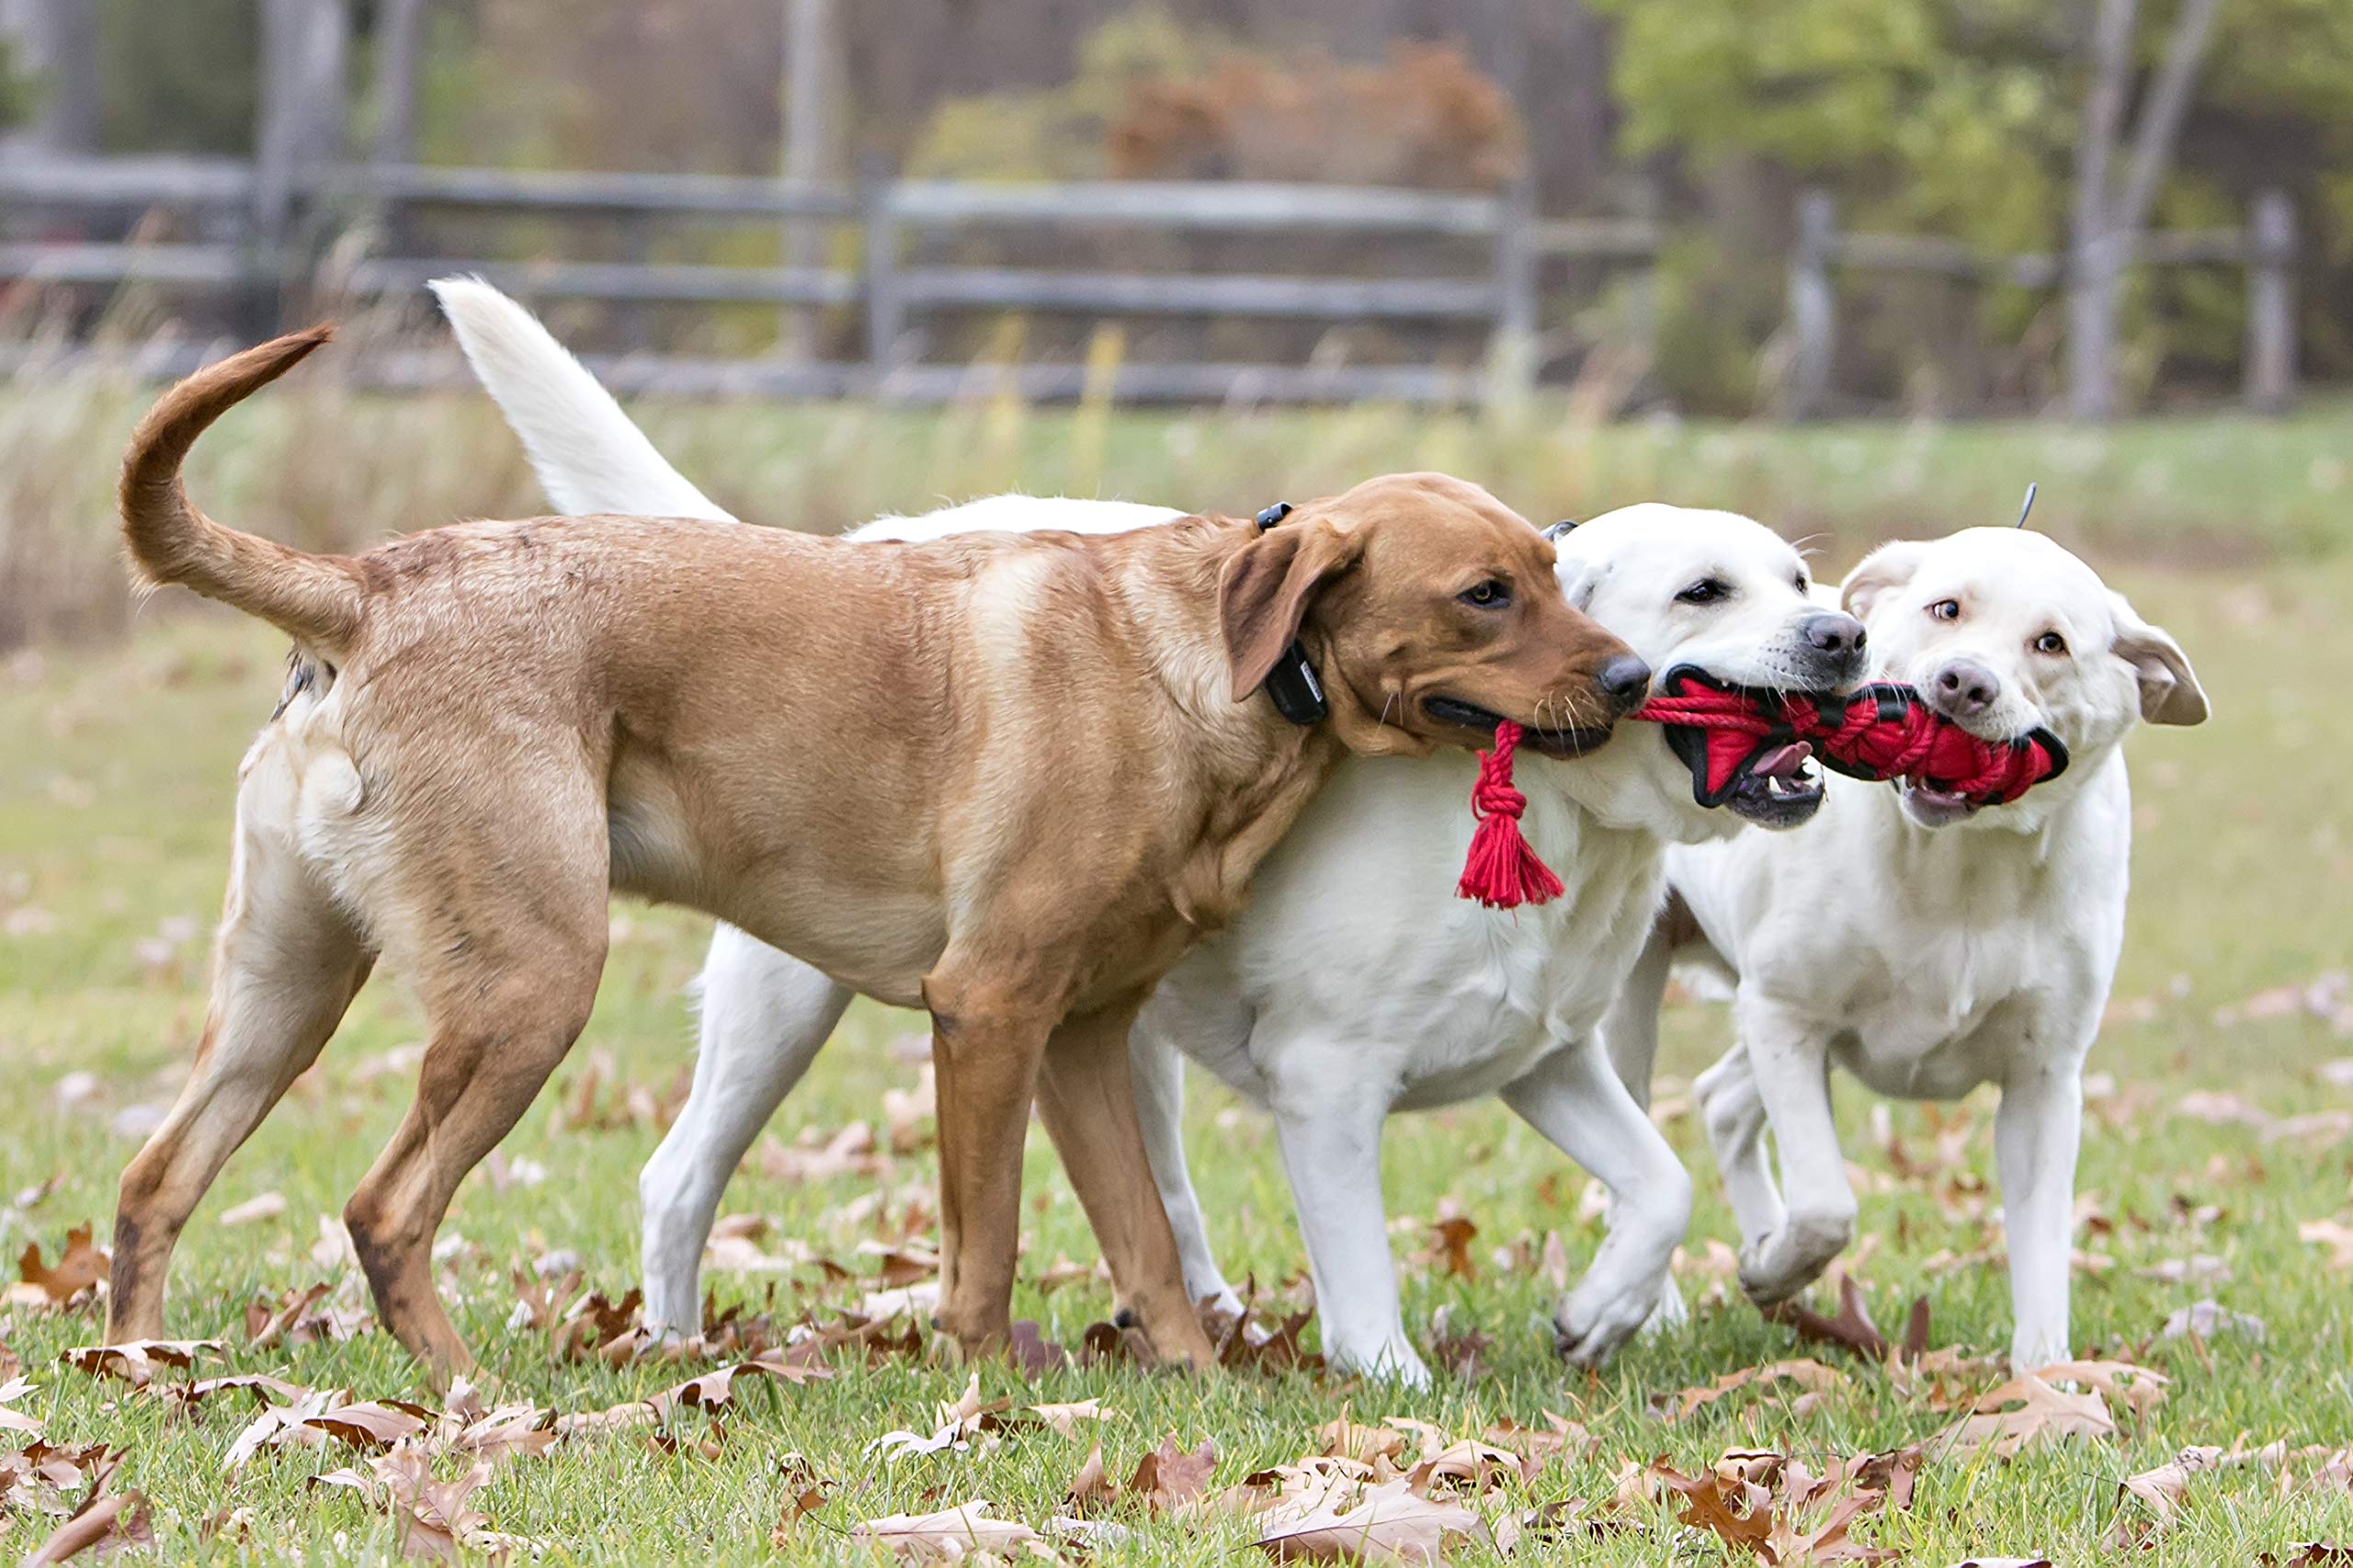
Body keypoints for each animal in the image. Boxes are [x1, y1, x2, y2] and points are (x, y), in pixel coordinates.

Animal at [110, 322, 1647, 1374]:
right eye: (1485, 594)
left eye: (1559, 570)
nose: (1636, 679)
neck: (1221, 670)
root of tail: (364, 586)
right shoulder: (990, 1011)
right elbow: (991, 1245)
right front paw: (984, 1393)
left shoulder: (1084, 1034)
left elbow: (1146, 1245)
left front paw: (1195, 1383)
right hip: (531, 986)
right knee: (386, 1204)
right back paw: (461, 1385)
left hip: (286, 991)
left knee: (155, 1179)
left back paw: (139, 1362)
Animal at [438, 281, 1854, 1384]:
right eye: (1703, 591)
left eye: (1801, 577)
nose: (1841, 635)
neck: (1569, 826)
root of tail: (855, 544)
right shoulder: (1327, 1080)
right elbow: (1364, 1281)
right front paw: (1394, 1386)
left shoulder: (1542, 1056)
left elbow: (1662, 1185)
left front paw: (1602, 1308)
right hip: (787, 1002)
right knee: (679, 1177)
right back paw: (676, 1348)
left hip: (1110, 1027)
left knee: (1155, 1192)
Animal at [1599, 522, 2202, 1356]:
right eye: (1945, 608)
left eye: (2050, 642)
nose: (1964, 683)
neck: (1961, 869)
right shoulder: (1787, 1016)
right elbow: (1827, 1204)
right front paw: (1776, 1266)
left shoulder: (2045, 1078)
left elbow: (2044, 1247)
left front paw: (2046, 1378)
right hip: (1638, 996)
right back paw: (1661, 1305)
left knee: (1719, 1100)